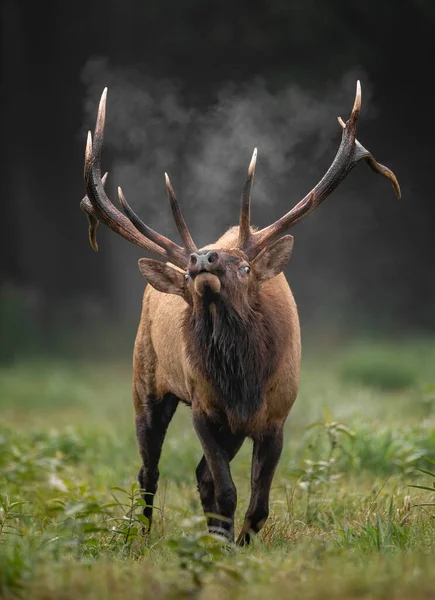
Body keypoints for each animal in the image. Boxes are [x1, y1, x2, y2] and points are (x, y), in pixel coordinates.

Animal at [80, 81, 400, 544]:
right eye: (190, 274)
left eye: (246, 267)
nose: (201, 259)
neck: (243, 381)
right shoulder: (203, 408)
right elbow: (227, 489)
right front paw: (228, 541)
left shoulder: (277, 414)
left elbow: (258, 501)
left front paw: (240, 539)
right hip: (146, 381)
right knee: (149, 470)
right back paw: (142, 534)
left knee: (198, 475)